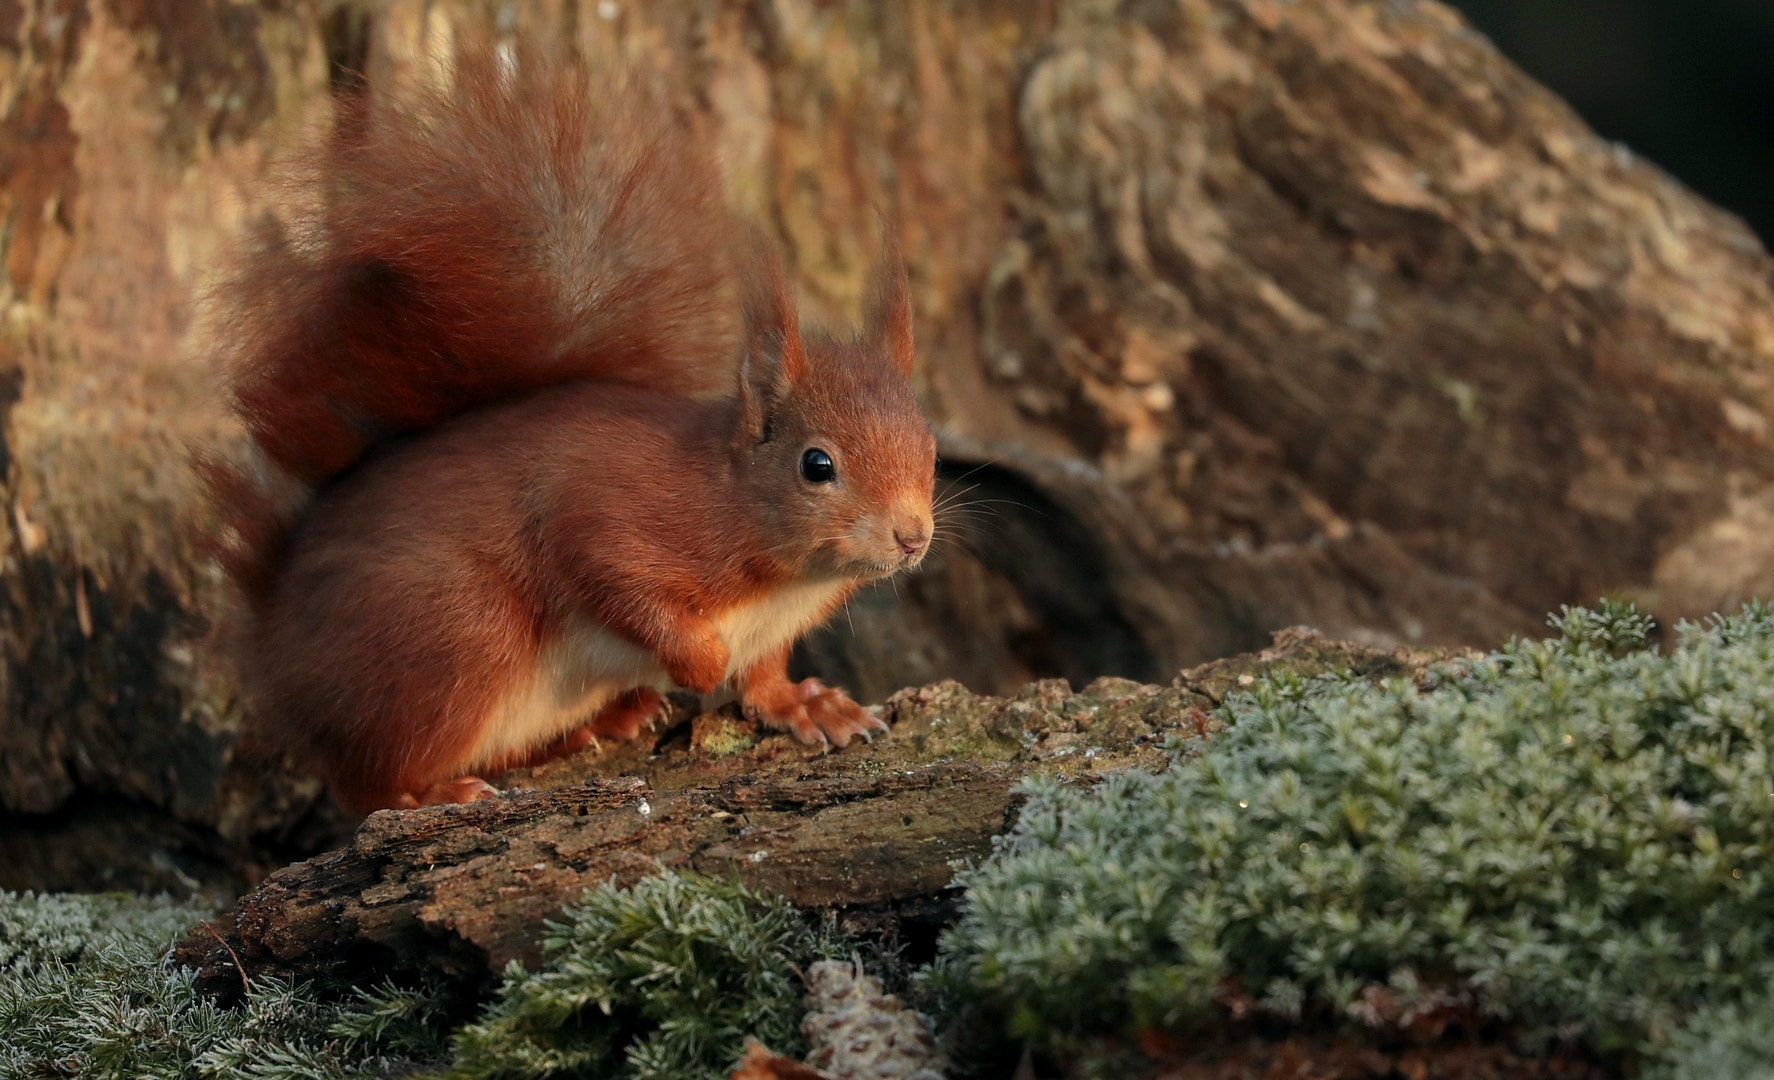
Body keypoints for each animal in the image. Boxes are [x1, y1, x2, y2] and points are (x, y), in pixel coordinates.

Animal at [203, 43, 936, 815]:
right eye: (816, 465)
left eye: (929, 447)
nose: (912, 537)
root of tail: (275, 646)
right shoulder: (611, 515)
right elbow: (615, 578)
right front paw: (701, 663)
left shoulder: (769, 630)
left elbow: (763, 678)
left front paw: (808, 704)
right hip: (452, 638)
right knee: (365, 781)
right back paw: (433, 792)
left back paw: (601, 722)